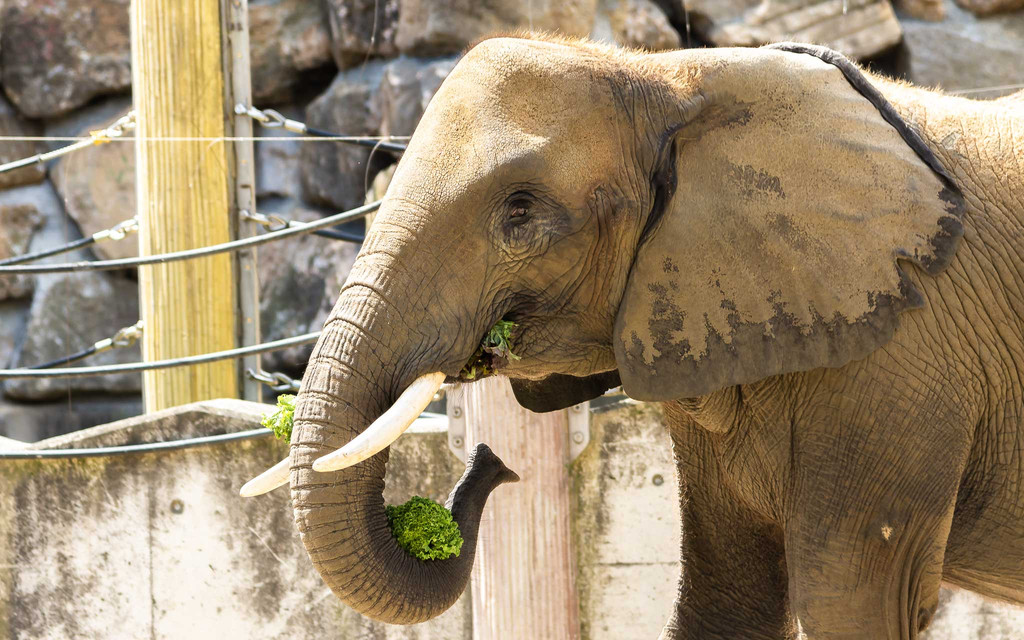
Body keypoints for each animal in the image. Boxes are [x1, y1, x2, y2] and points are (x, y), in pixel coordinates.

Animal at [242, 35, 1024, 639]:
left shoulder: (902, 367)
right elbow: (728, 599)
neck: (665, 77)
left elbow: (851, 598)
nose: (493, 463)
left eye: (520, 212)